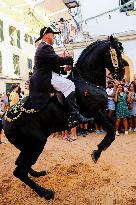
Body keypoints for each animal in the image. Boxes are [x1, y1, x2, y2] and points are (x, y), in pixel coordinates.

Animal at [1, 34, 124, 199]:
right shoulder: (95, 112)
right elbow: (110, 130)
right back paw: (45, 192)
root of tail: (5, 119)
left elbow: (112, 127)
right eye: (116, 52)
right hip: (37, 143)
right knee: (19, 171)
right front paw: (97, 153)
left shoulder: (102, 112)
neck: (87, 81)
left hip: (27, 146)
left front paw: (98, 150)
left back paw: (38, 173)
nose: (122, 74)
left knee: (21, 164)